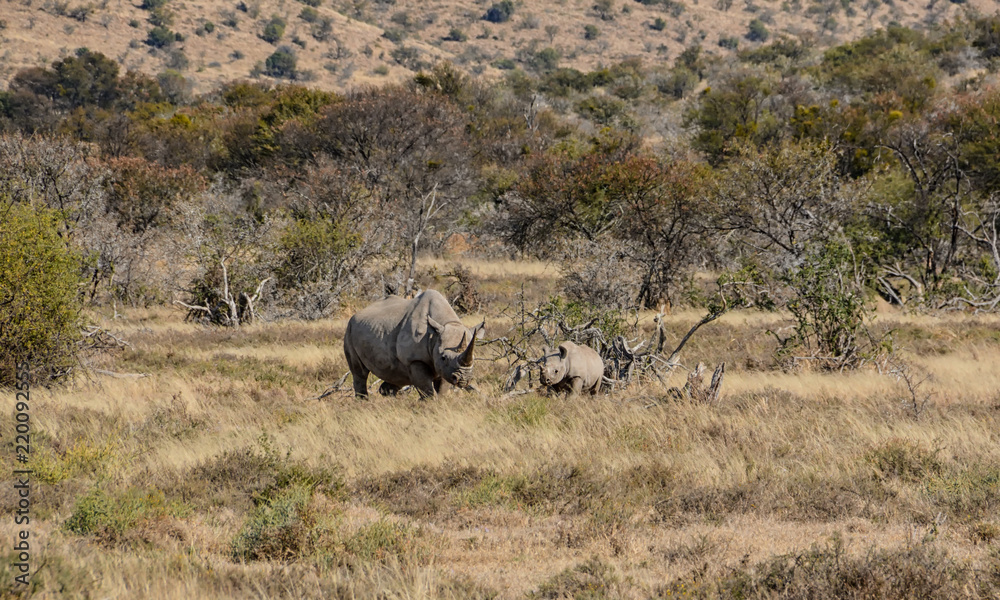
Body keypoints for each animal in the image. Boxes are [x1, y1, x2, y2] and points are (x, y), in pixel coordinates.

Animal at [344, 290, 485, 399]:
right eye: (444, 357)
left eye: (474, 359)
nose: (464, 379)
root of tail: (356, 314)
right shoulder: (415, 360)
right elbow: (427, 391)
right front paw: (429, 405)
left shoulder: (446, 369)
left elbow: (442, 390)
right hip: (349, 329)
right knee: (359, 373)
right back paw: (363, 402)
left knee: (395, 374)